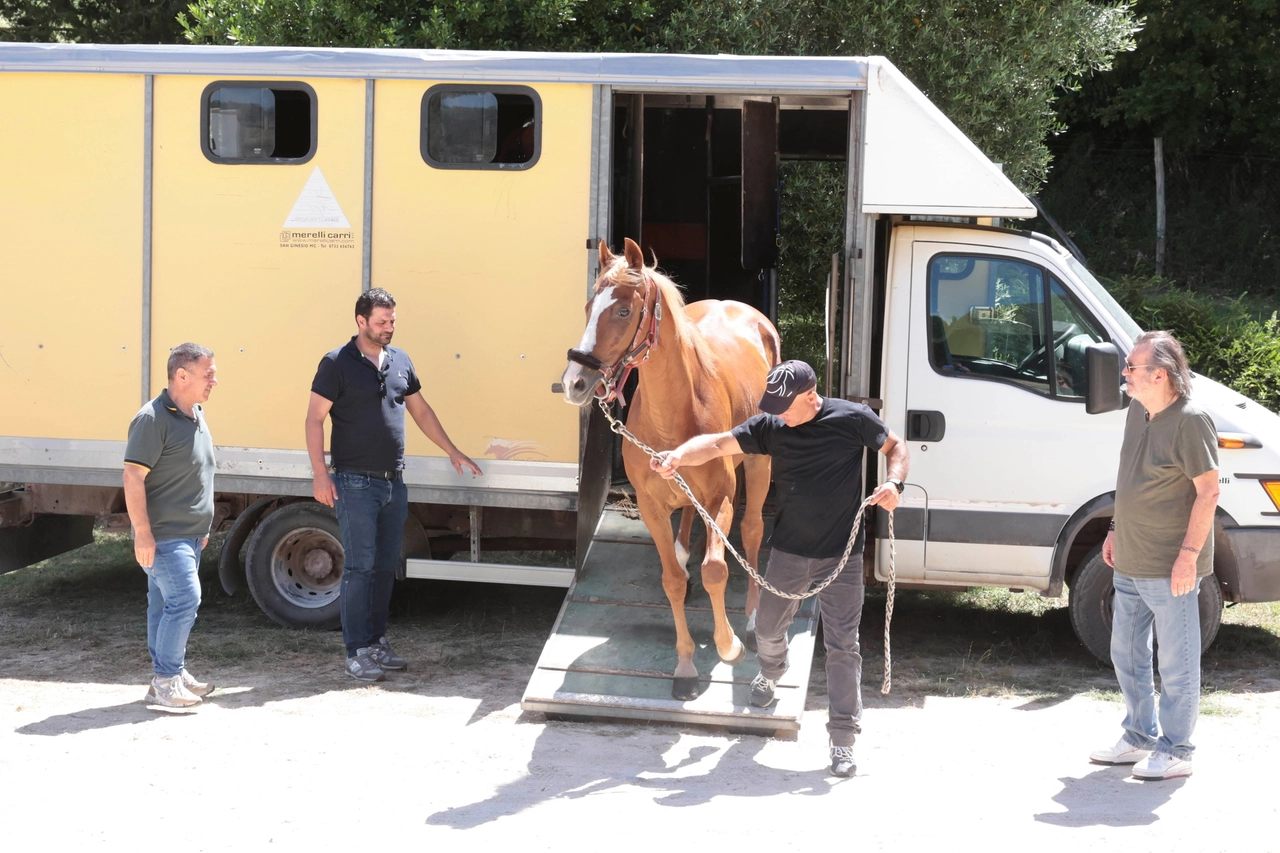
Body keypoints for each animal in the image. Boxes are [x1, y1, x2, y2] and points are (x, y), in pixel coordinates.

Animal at [563, 236, 778, 696]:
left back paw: (753, 622)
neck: (675, 414)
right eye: (589, 306)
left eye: (623, 311)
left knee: (752, 532)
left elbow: (716, 568)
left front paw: (729, 645)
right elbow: (672, 581)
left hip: (759, 464)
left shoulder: (721, 498)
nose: (575, 382)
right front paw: (685, 668)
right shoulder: (650, 506)